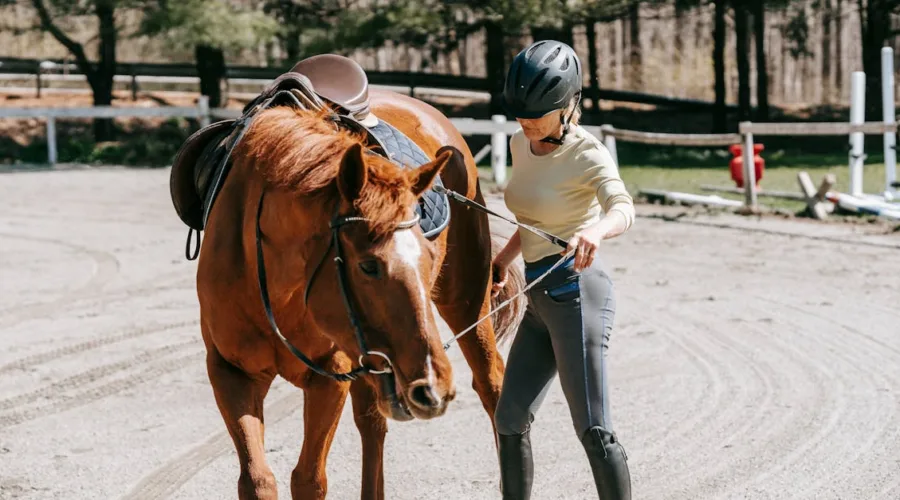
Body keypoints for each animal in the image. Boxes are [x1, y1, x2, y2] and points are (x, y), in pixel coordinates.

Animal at [185, 85, 526, 499]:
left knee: (492, 386)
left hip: (465, 305)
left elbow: (309, 478)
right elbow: (256, 479)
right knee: (372, 422)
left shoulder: (329, 376)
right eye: (368, 266)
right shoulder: (231, 373)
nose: (434, 384)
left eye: (430, 257)